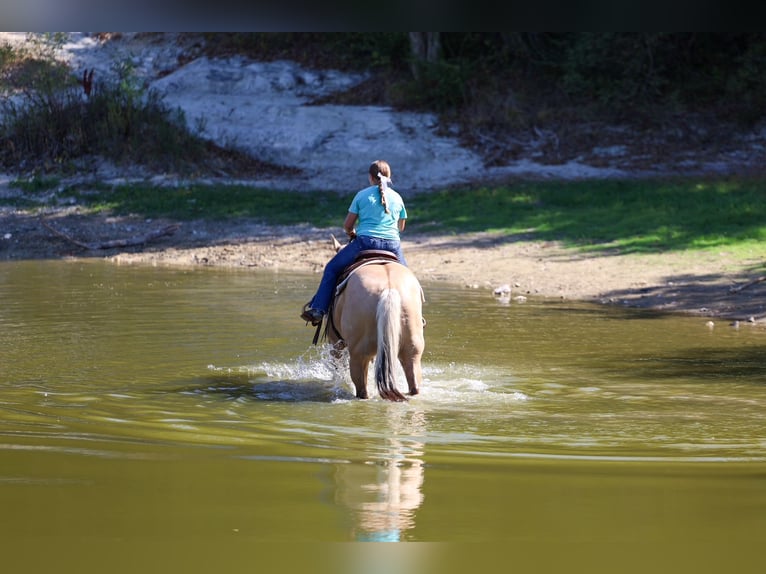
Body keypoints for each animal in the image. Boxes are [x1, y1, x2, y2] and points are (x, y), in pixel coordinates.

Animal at [324, 237, 425, 402]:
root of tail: (389, 289)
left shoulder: (336, 342)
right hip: (412, 351)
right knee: (414, 382)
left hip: (358, 355)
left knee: (362, 390)